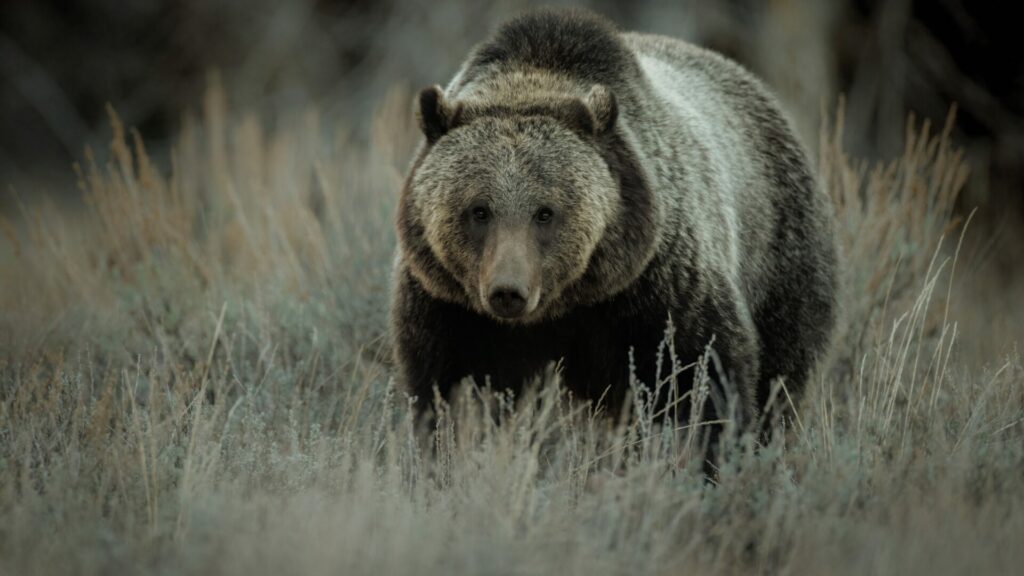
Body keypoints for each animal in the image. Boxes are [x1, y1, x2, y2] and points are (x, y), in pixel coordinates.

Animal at [387, 7, 835, 430]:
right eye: (479, 210)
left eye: (545, 212)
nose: (508, 291)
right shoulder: (450, 308)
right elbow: (452, 392)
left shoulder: (657, 288)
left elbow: (703, 377)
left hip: (781, 257)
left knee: (782, 374)